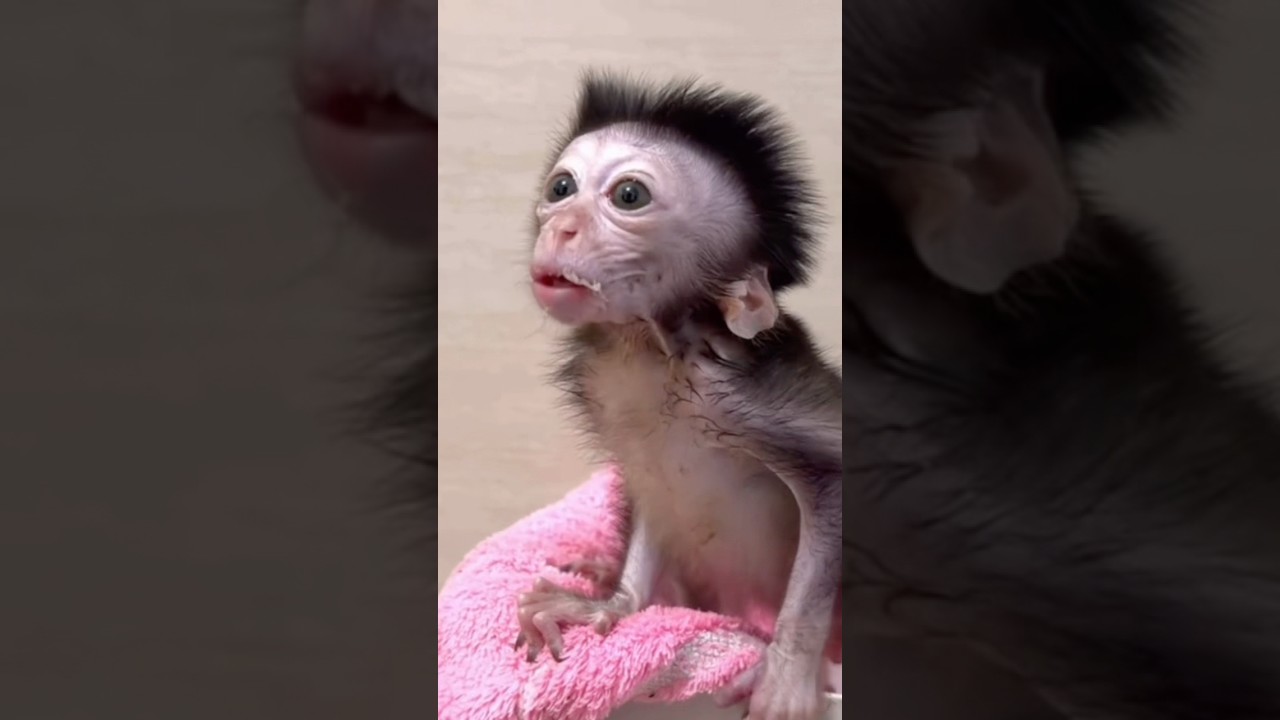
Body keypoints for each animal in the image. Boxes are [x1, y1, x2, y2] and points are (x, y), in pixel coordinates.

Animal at [511, 73, 842, 720]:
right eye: (561, 187)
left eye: (629, 196)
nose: (560, 227)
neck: (650, 349)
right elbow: (649, 499)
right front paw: (608, 603)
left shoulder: (750, 400)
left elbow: (834, 482)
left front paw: (788, 677)